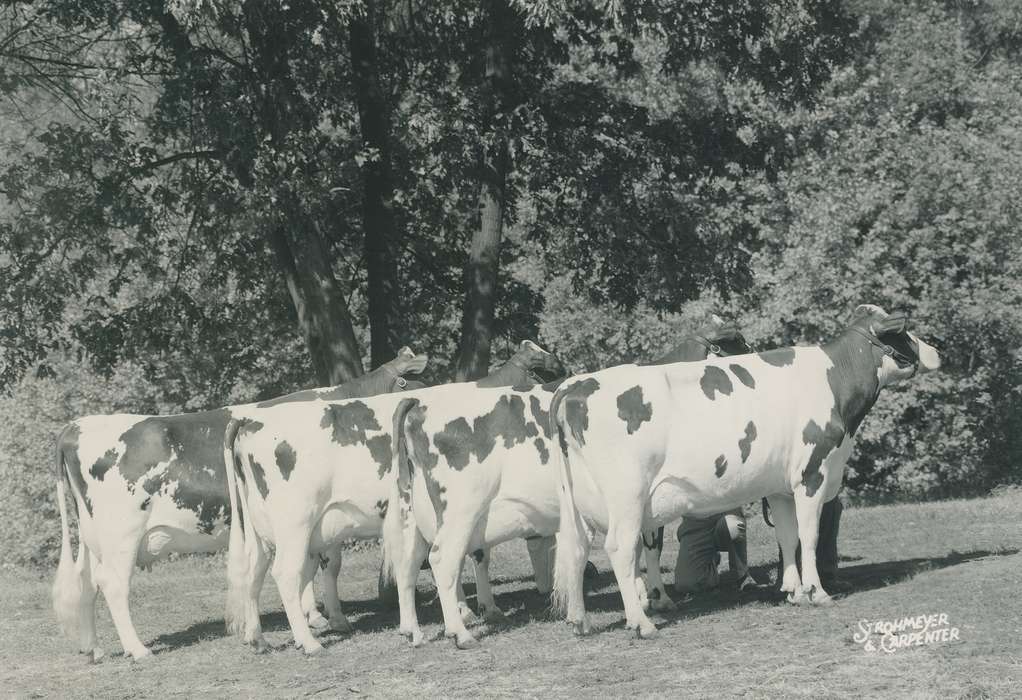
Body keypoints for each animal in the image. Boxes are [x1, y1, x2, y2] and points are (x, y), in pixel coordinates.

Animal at [52, 348, 427, 662]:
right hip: (122, 535)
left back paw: (95, 649)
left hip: (93, 538)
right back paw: (138, 649)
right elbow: (323, 565)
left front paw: (318, 616)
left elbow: (314, 567)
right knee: (113, 584)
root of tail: (76, 426)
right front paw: (326, 619)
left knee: (87, 581)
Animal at [223, 341, 565, 655]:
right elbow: (472, 555)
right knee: (286, 573)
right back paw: (309, 641)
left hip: (260, 528)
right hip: (295, 524)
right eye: (541, 367)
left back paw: (259, 639)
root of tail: (250, 420)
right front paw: (475, 612)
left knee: (254, 570)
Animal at [382, 323, 751, 649]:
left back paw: (415, 630)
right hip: (460, 508)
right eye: (738, 342)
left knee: (410, 563)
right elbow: (647, 545)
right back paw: (461, 631)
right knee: (442, 559)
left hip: (416, 513)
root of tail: (420, 404)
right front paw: (654, 600)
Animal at [548, 304, 940, 639]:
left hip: (579, 499)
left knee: (578, 548)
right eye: (902, 330)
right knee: (618, 547)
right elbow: (809, 536)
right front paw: (816, 592)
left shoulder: (781, 486)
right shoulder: (813, 474)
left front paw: (794, 591)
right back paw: (641, 623)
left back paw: (580, 621)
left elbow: (788, 536)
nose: (936, 350)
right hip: (626, 495)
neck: (834, 380)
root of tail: (576, 385)